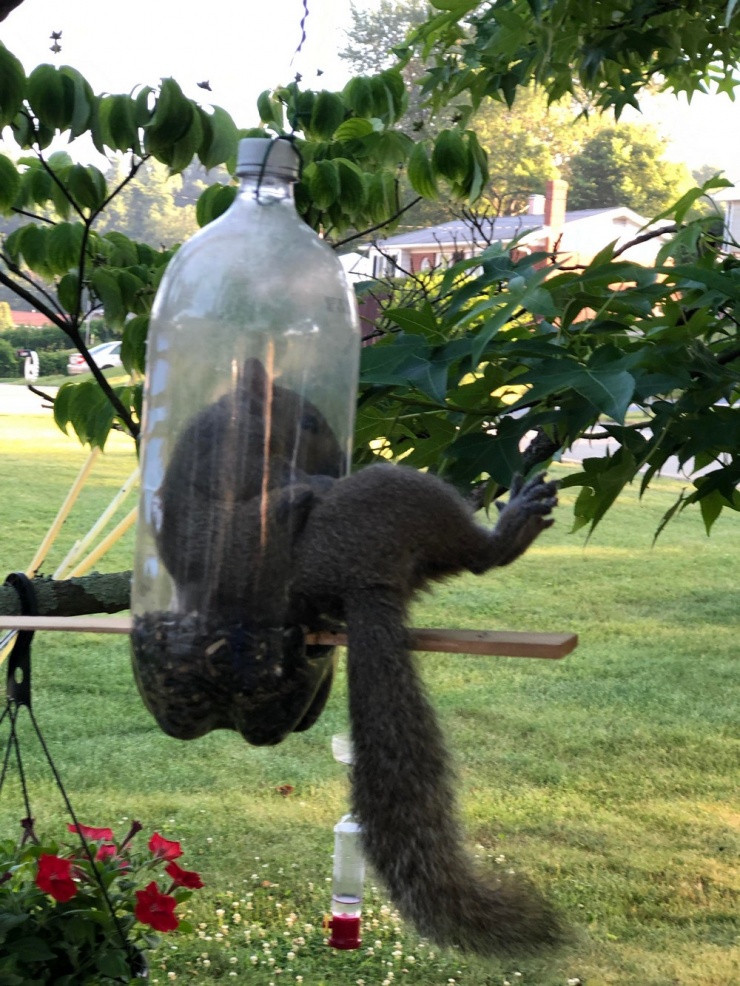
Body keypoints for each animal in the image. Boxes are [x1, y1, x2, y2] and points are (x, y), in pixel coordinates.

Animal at [146, 360, 560, 952]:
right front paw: (313, 480)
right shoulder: (236, 452)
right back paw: (513, 526)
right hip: (391, 499)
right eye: (310, 423)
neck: (240, 418)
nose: (333, 460)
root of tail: (361, 585)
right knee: (480, 557)